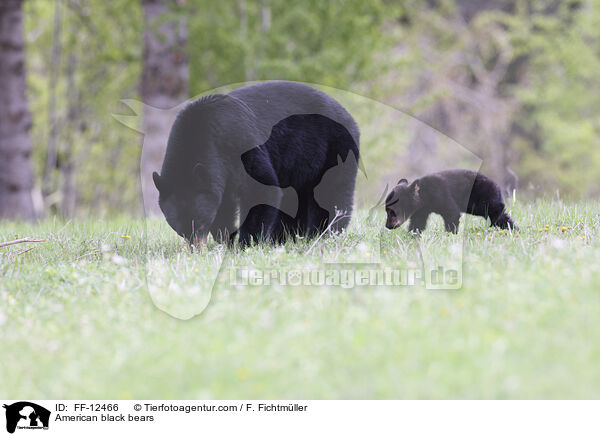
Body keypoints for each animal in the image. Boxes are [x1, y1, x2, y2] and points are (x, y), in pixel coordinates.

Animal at [152, 81, 358, 245]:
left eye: (201, 224)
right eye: (180, 231)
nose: (197, 249)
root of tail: (349, 116)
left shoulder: (238, 143)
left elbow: (261, 189)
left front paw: (246, 243)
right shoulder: (220, 172)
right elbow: (224, 205)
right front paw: (225, 240)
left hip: (334, 148)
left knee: (330, 194)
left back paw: (324, 233)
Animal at [386, 169, 516, 233]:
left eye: (392, 211)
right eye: (386, 211)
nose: (388, 226)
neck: (424, 197)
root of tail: (497, 186)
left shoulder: (441, 194)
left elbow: (452, 213)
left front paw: (450, 234)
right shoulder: (421, 210)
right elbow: (417, 222)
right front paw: (413, 236)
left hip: (482, 198)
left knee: (495, 211)